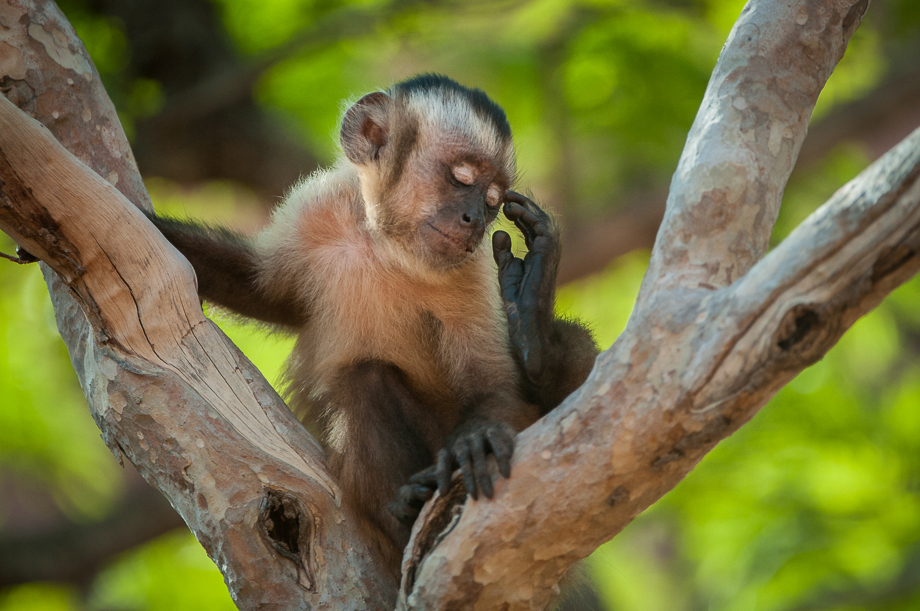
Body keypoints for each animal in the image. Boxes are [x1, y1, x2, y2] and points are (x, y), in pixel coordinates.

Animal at [142, 74, 596, 580]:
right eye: (461, 178)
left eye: (492, 201)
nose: (475, 219)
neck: (386, 247)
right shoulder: (317, 210)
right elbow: (265, 292)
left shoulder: (470, 274)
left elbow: (493, 386)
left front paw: (477, 437)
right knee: (364, 379)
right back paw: (406, 511)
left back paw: (533, 324)